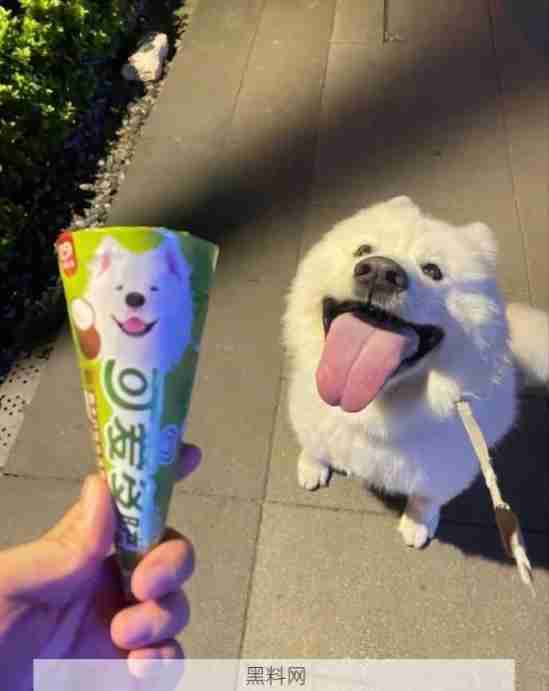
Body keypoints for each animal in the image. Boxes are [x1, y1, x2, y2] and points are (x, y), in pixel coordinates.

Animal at [283, 196, 548, 548]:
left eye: (433, 271)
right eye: (363, 249)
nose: (380, 272)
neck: (371, 412)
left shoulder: (445, 467)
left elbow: (425, 498)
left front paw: (417, 525)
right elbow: (314, 445)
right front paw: (312, 467)